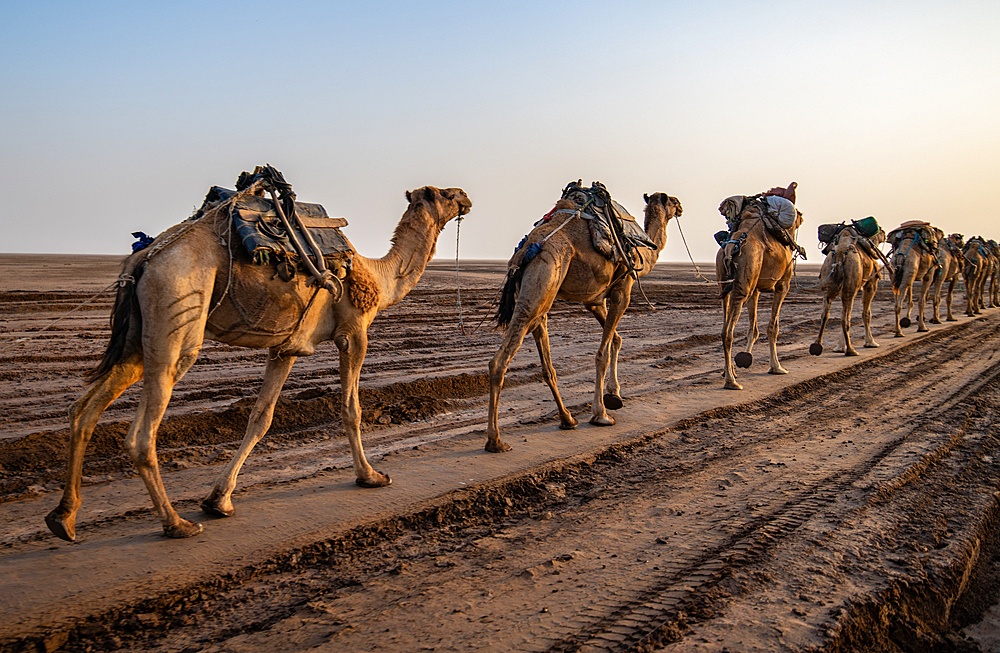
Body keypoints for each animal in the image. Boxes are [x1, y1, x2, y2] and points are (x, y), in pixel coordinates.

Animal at [43, 173, 472, 540]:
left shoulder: (285, 347)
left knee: (84, 409)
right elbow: (351, 409)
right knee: (141, 433)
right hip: (176, 318)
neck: (378, 277)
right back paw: (176, 524)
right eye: (445, 193)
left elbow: (260, 418)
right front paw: (370, 476)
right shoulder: (354, 333)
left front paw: (219, 500)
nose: (466, 196)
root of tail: (144, 258)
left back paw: (63, 517)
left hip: (136, 339)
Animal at [484, 185, 680, 454]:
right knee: (500, 360)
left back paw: (567, 418)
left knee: (546, 361)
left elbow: (616, 339)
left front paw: (614, 395)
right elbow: (602, 352)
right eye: (671, 201)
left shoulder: (595, 300)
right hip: (543, 280)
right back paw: (495, 440)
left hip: (540, 293)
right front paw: (601, 414)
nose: (680, 206)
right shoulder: (623, 289)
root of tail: (527, 250)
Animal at [716, 194, 808, 388]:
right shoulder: (783, 284)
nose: (801, 217)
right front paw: (776, 367)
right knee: (728, 332)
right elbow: (773, 327)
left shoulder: (756, 288)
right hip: (743, 285)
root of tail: (731, 247)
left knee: (724, 323)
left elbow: (753, 328)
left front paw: (745, 358)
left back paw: (729, 372)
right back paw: (731, 381)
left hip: (726, 282)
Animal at [808, 224, 888, 356]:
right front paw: (870, 343)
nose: (884, 232)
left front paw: (840, 347)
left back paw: (816, 346)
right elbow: (866, 313)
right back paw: (851, 350)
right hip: (851, 282)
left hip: (828, 279)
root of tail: (840, 253)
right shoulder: (871, 282)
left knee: (826, 314)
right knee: (846, 317)